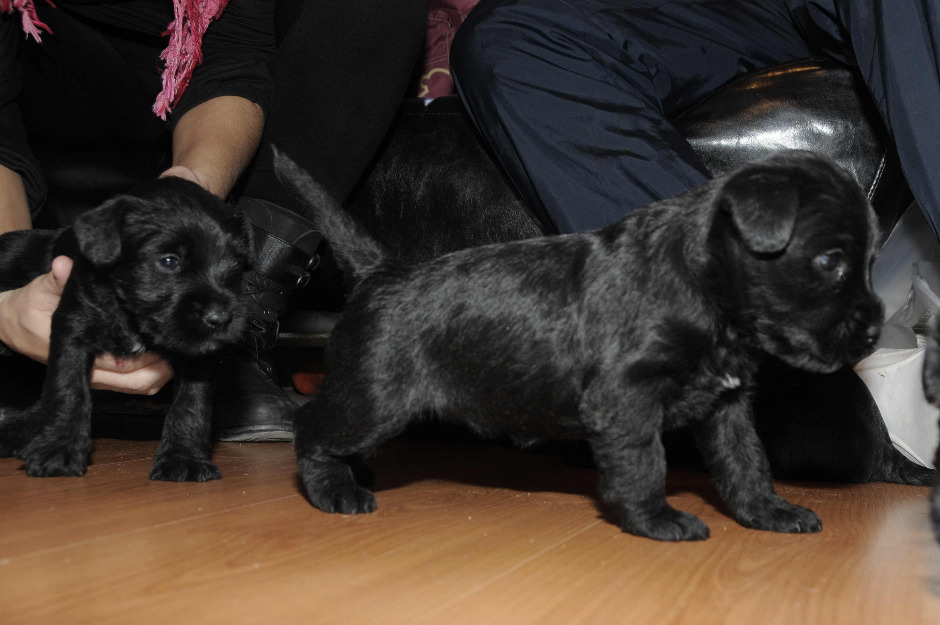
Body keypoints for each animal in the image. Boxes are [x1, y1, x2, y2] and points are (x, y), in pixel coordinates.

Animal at [0, 178, 252, 480]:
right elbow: (67, 388)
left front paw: (183, 457)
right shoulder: (72, 329)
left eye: (236, 263)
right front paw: (58, 448)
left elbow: (192, 403)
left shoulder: (198, 355)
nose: (221, 318)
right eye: (169, 260)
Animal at [276, 149, 884, 540]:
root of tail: (381, 271)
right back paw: (335, 491)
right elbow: (643, 461)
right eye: (830, 260)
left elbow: (746, 461)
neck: (700, 282)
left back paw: (354, 475)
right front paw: (657, 520)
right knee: (312, 428)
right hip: (376, 397)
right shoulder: (626, 400)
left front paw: (767, 512)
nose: (875, 331)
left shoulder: (727, 405)